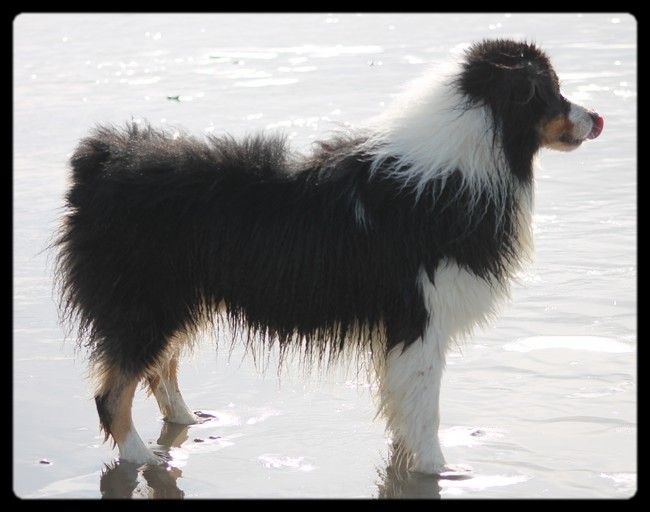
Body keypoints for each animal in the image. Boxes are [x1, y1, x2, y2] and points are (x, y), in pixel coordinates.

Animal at [55, 38, 604, 474]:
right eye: (550, 90)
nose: (598, 118)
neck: (475, 150)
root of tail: (101, 159)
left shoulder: (405, 329)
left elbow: (402, 406)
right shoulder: (421, 319)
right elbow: (425, 408)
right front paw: (441, 471)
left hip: (177, 300)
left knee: (159, 369)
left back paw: (193, 425)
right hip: (146, 301)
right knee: (113, 392)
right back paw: (142, 457)